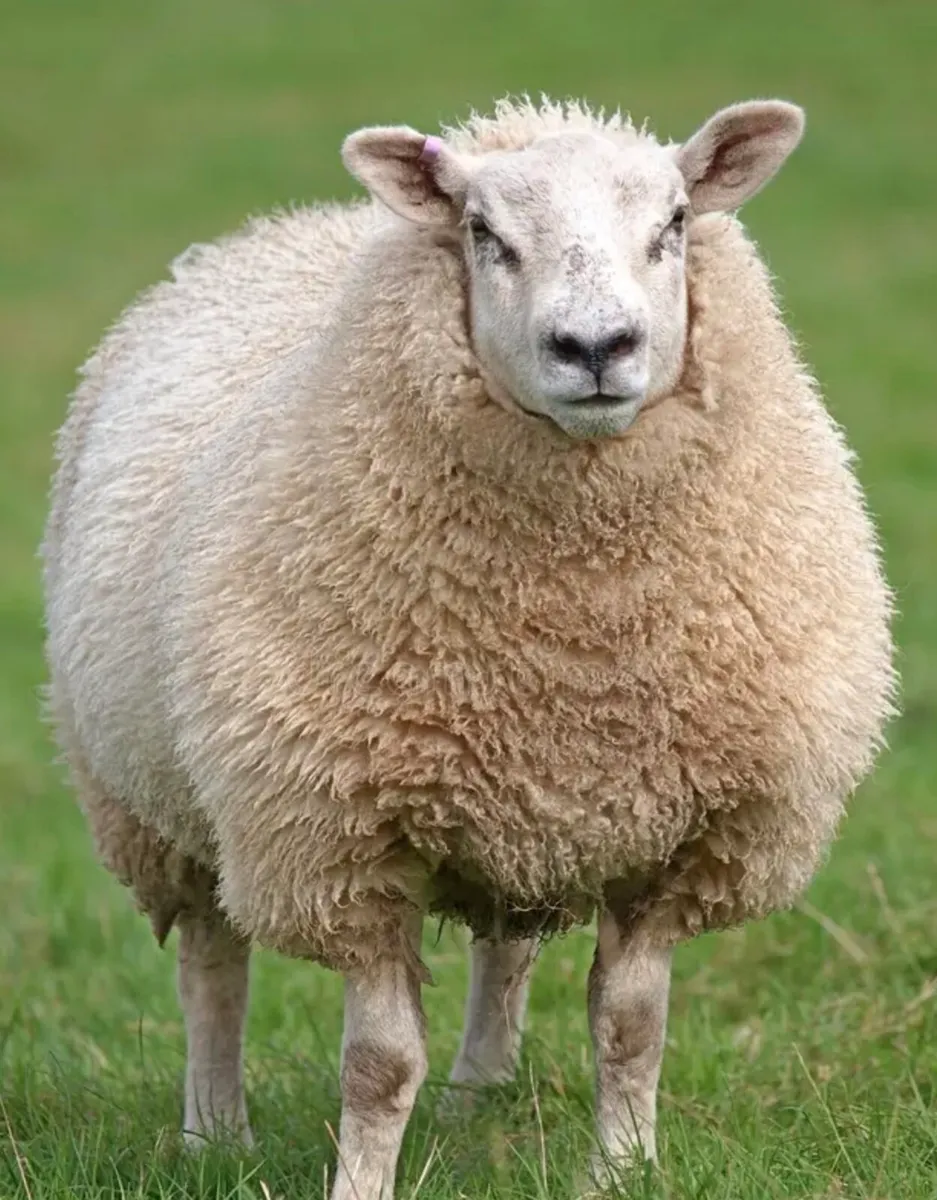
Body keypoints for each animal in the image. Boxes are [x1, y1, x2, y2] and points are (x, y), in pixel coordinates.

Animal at [41, 95, 896, 1196]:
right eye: (484, 234)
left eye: (671, 224)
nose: (594, 346)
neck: (573, 645)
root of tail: (292, 224)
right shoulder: (342, 836)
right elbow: (376, 1062)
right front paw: (359, 1182)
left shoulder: (677, 832)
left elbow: (630, 1026)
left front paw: (621, 1173)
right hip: (168, 807)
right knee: (211, 966)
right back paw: (214, 1134)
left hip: (515, 814)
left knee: (504, 952)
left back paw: (477, 1097)